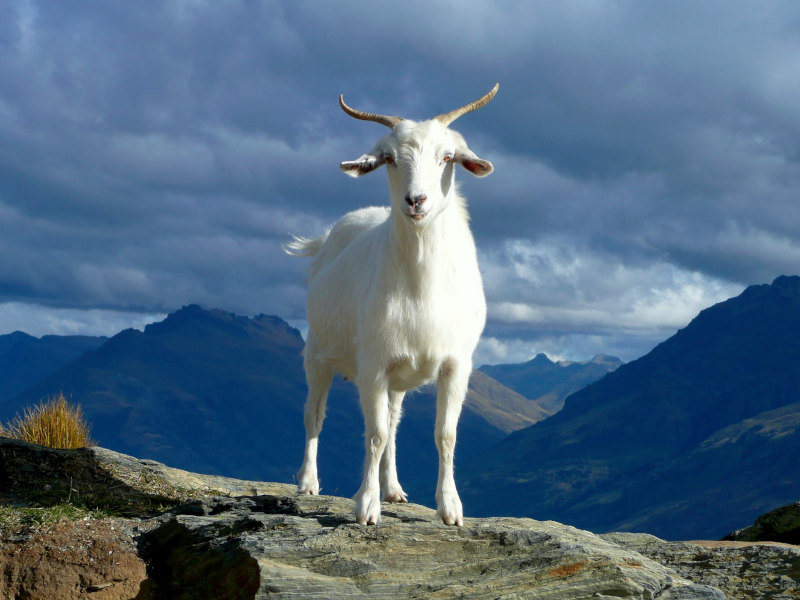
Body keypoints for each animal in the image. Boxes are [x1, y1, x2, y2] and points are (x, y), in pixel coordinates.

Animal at [284, 84, 496, 524]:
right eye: (390, 159)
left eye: (447, 157)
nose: (417, 201)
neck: (421, 285)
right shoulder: (373, 365)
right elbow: (375, 435)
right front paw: (366, 506)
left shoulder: (455, 364)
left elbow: (444, 434)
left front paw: (450, 508)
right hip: (317, 354)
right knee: (315, 414)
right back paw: (308, 482)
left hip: (399, 376)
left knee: (395, 423)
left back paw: (394, 489)